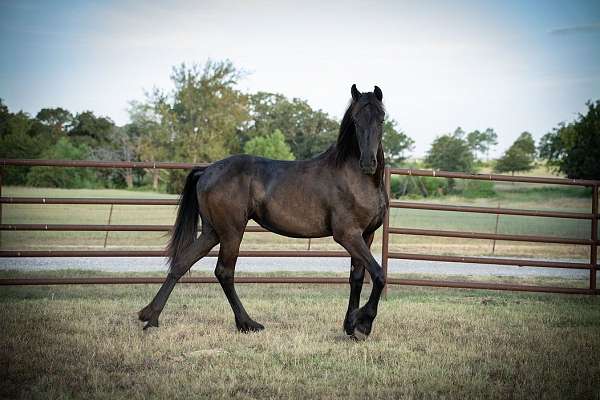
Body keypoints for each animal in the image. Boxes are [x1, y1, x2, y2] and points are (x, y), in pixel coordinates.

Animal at [138, 84, 386, 340]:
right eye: (356, 120)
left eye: (381, 119)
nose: (368, 163)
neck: (355, 178)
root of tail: (206, 171)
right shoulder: (348, 235)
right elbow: (379, 274)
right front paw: (363, 324)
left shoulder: (366, 235)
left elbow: (357, 278)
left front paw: (351, 325)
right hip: (231, 232)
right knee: (224, 272)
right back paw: (247, 323)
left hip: (212, 232)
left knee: (181, 263)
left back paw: (151, 317)